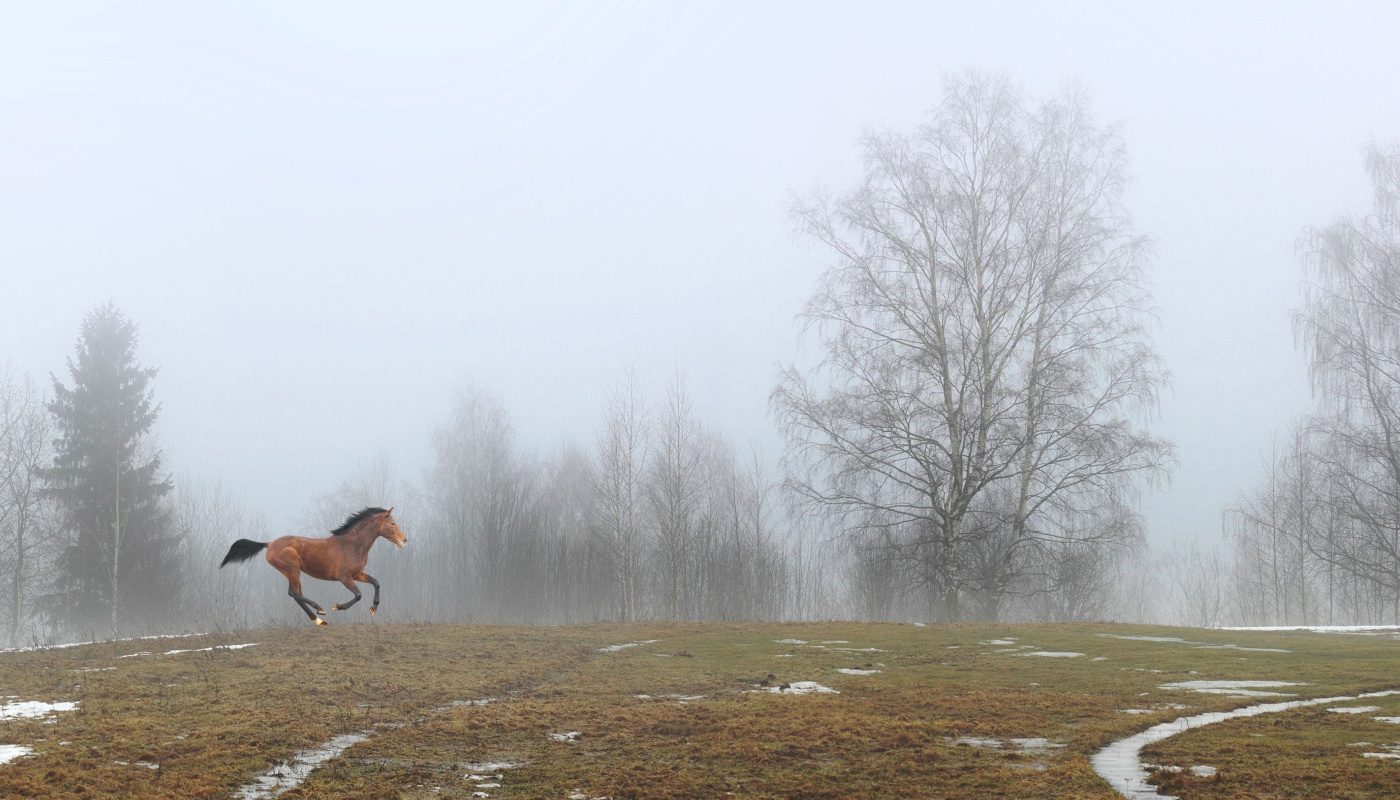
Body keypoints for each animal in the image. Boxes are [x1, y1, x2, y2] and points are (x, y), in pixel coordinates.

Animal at [217, 507, 406, 624]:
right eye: (392, 523)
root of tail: (269, 544)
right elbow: (358, 594)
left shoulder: (357, 574)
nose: (404, 540)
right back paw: (320, 611)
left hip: (293, 572)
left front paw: (373, 608)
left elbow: (376, 582)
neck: (352, 545)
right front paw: (338, 606)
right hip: (292, 569)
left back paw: (318, 620)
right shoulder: (344, 577)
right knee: (293, 592)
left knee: (296, 594)